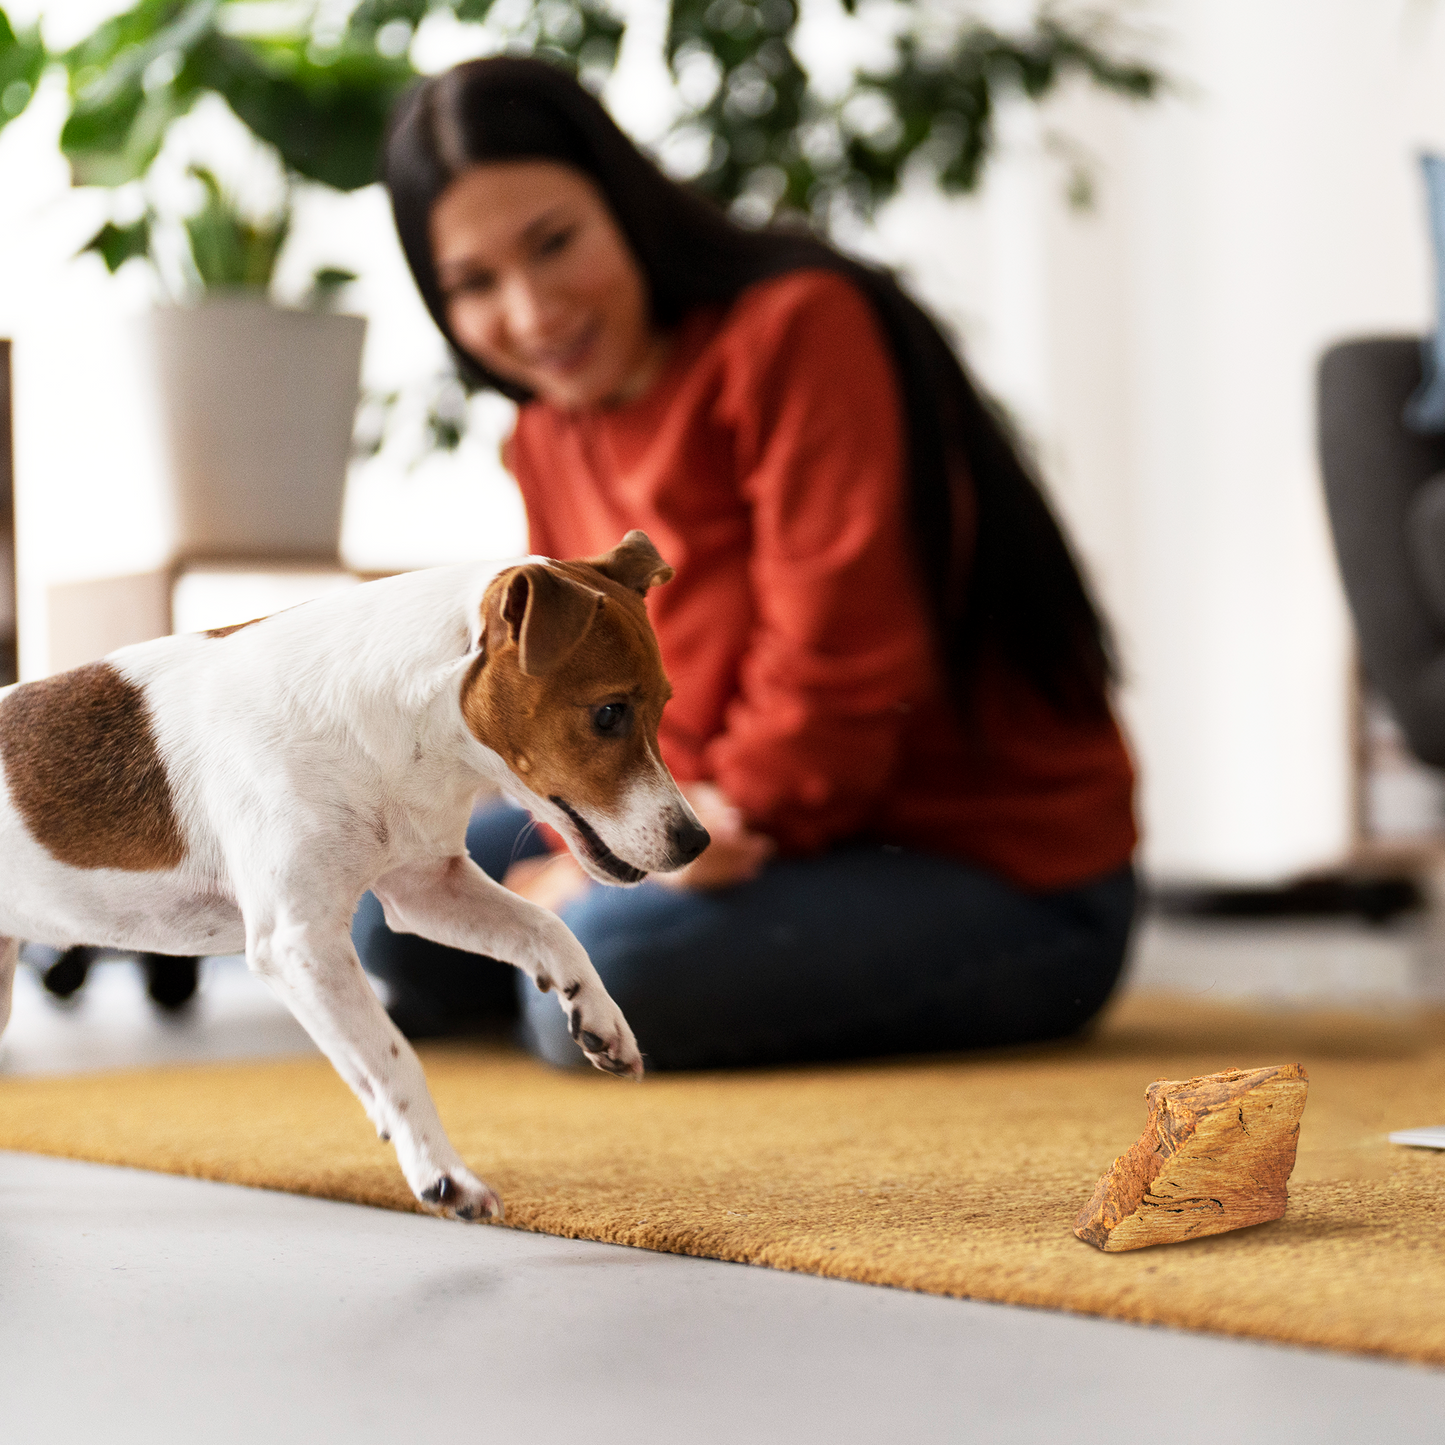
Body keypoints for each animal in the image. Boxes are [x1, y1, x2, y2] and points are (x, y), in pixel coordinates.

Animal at [0, 531, 705, 1219]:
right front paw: (442, 1176)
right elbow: (396, 1060)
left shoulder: (425, 886)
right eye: (609, 713)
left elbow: (547, 927)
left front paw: (600, 1016)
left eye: (665, 707)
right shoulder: (300, 941)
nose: (697, 841)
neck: (388, 724)